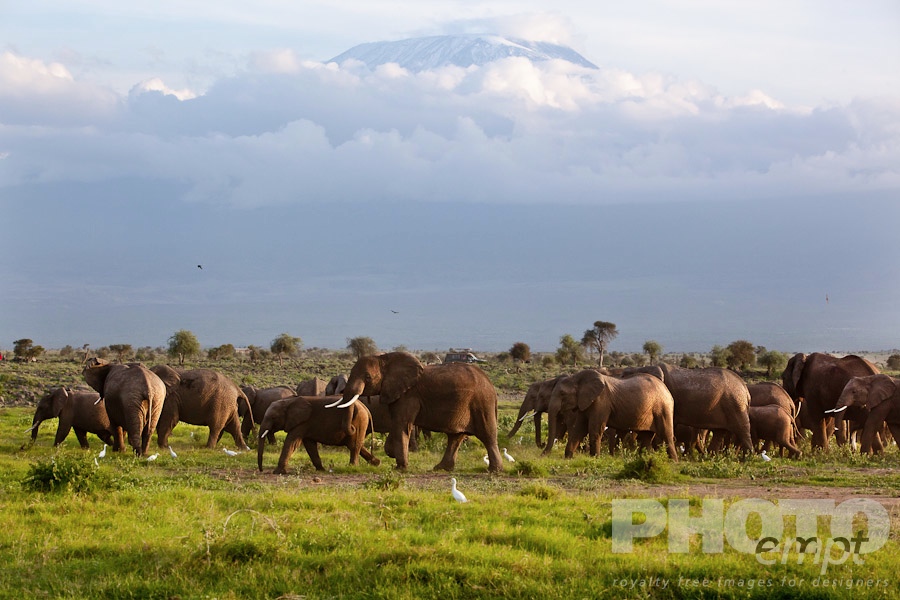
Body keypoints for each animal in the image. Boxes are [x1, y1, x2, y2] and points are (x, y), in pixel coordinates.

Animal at [333, 351, 503, 472]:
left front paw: (400, 468)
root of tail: (490, 384)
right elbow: (398, 425)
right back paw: (441, 468)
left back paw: (494, 470)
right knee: (455, 437)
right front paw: (393, 455)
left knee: (487, 435)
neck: (385, 358)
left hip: (482, 403)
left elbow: (401, 424)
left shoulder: (409, 395)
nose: (352, 428)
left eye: (367, 377)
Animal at [542, 369, 678, 460]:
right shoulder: (585, 402)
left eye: (562, 394)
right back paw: (643, 460)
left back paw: (673, 463)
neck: (577, 378)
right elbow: (579, 429)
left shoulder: (601, 402)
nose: (543, 454)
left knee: (666, 435)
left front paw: (595, 458)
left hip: (663, 408)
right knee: (646, 437)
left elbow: (594, 429)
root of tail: (667, 390)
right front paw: (568, 457)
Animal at [623, 364, 753, 453]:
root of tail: (745, 388)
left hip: (735, 404)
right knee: (719, 432)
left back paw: (748, 458)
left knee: (742, 430)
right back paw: (709, 457)